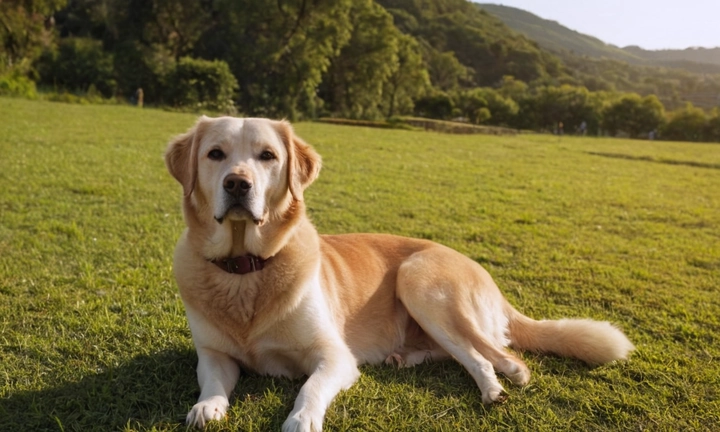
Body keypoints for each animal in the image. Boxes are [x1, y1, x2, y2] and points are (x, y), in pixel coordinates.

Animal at [165, 115, 636, 432]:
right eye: (215, 154)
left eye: (268, 156)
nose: (237, 184)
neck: (246, 271)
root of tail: (487, 278)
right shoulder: (214, 354)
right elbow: (212, 381)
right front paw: (207, 407)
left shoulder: (335, 356)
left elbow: (310, 388)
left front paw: (301, 419)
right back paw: (404, 357)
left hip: (419, 279)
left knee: (496, 358)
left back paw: (494, 389)